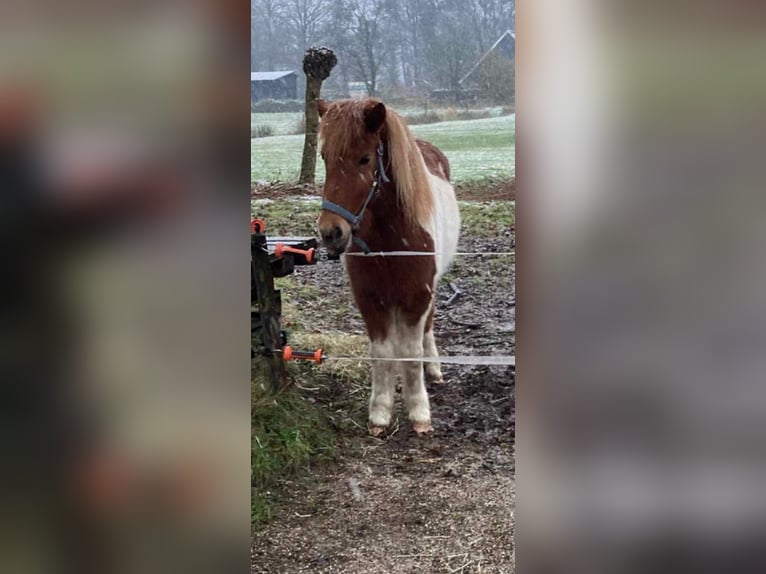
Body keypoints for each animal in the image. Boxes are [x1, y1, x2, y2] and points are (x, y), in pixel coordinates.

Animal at [316, 98, 460, 436]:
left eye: (365, 158)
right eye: (324, 157)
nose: (331, 232)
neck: (391, 240)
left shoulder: (418, 296)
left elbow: (411, 353)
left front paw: (419, 413)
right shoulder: (370, 300)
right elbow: (382, 354)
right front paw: (380, 414)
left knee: (428, 328)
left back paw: (434, 370)